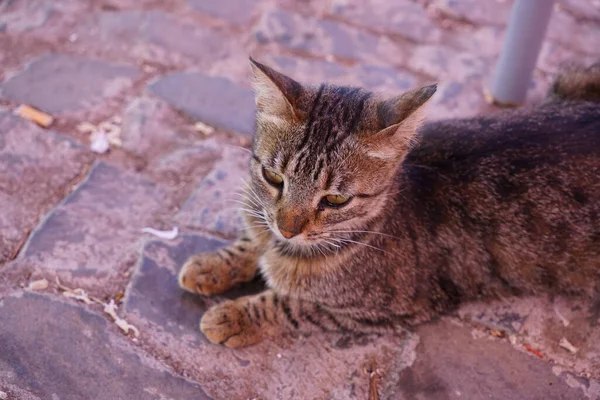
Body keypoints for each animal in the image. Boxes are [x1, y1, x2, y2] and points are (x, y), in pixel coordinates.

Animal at [178, 58, 600, 346]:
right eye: (273, 178)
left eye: (336, 199)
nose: (287, 228)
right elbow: (253, 238)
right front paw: (213, 264)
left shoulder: (377, 311)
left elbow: (291, 305)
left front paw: (234, 316)